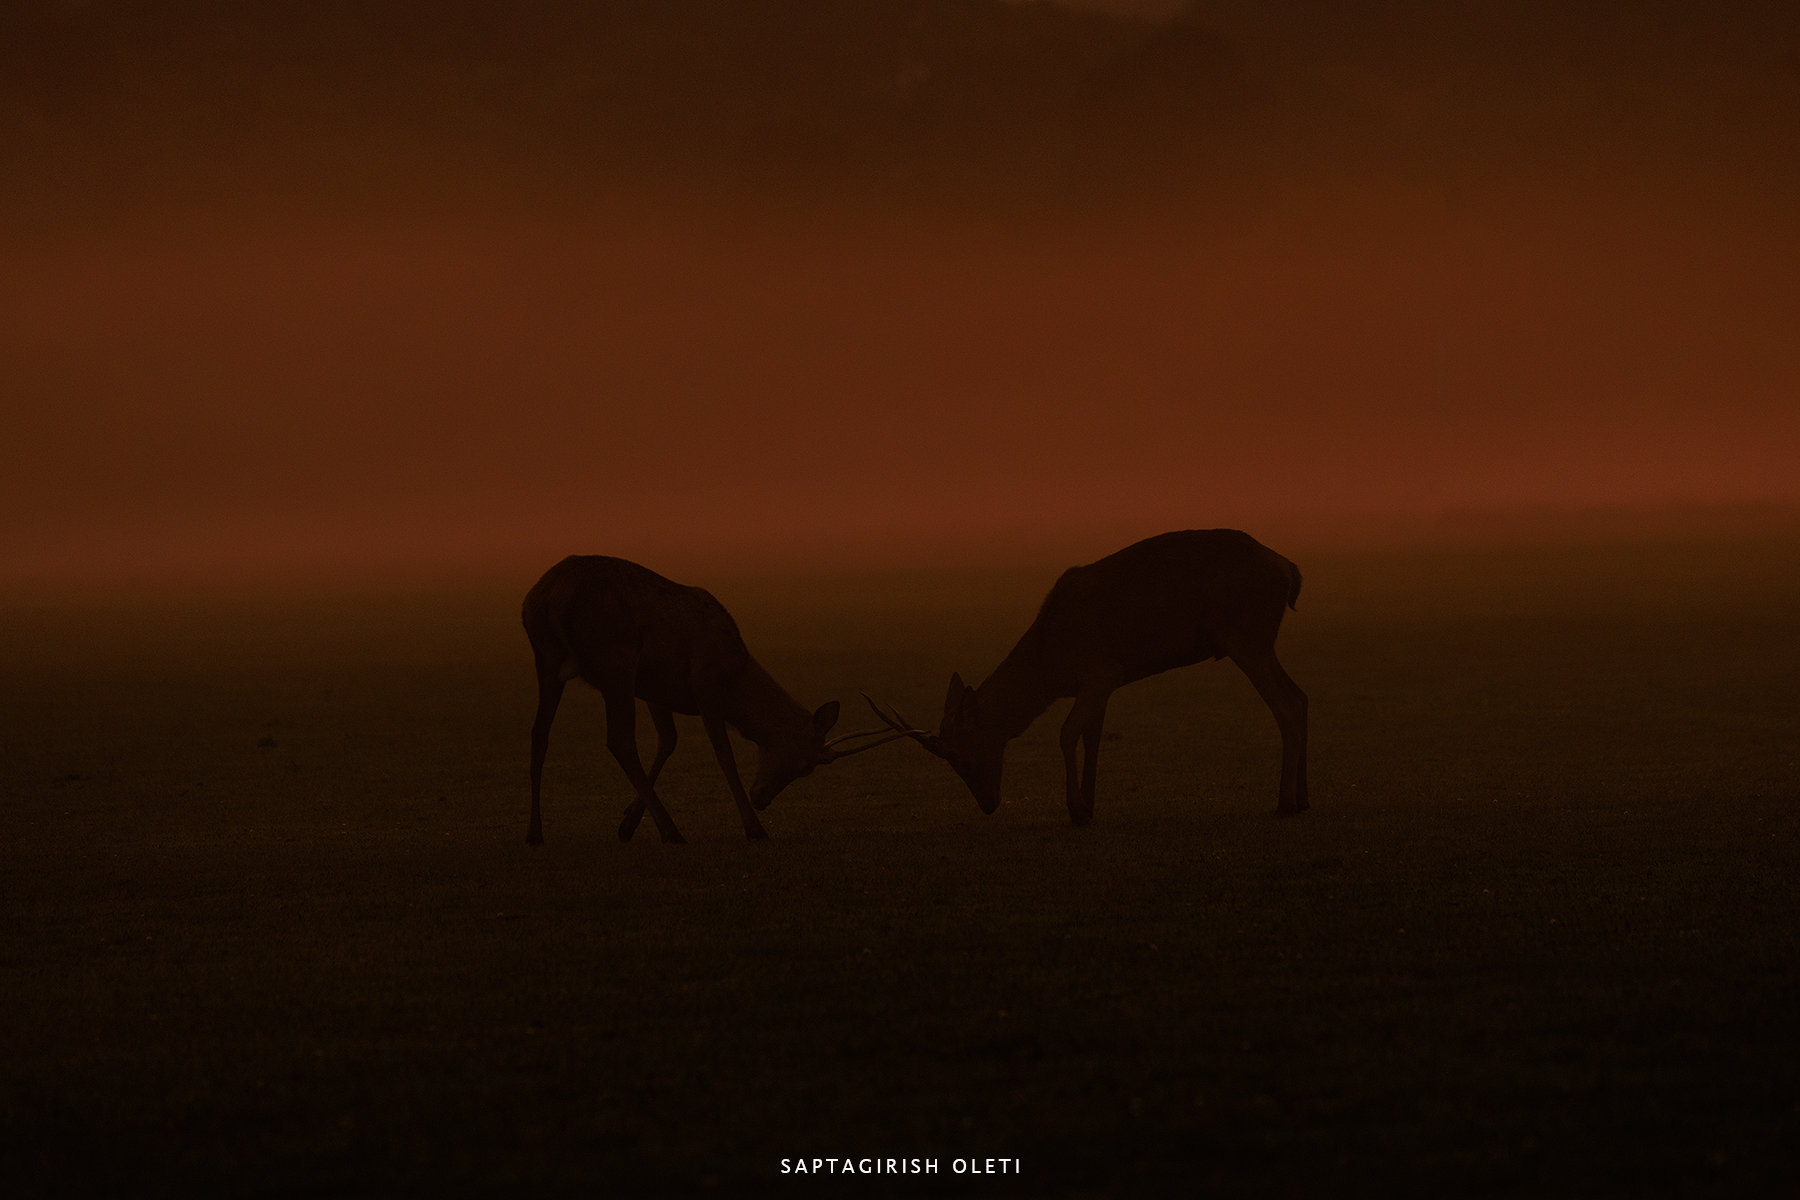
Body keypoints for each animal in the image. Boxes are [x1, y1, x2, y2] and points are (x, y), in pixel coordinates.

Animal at [521, 555, 909, 844]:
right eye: (806, 766)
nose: (761, 799)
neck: (737, 675)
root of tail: (549, 598)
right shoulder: (704, 682)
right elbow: (724, 755)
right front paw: (754, 829)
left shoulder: (654, 688)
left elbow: (669, 740)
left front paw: (627, 823)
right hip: (616, 659)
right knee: (618, 738)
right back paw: (672, 832)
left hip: (547, 657)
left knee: (539, 734)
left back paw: (534, 833)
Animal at [866, 529, 1308, 824]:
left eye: (966, 756)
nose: (988, 805)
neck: (1050, 661)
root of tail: (1290, 570)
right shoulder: (1104, 680)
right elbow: (1092, 734)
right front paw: (1091, 802)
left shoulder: (1099, 671)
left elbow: (1066, 732)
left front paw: (1076, 809)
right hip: (1259, 642)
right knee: (1301, 696)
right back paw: (1303, 798)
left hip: (1244, 637)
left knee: (1285, 705)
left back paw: (1284, 804)